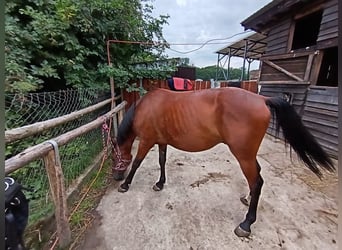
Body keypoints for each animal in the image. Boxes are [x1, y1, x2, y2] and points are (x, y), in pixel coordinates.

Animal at [111, 87, 334, 237]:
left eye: (115, 157)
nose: (115, 176)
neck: (146, 107)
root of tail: (262, 99)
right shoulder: (162, 141)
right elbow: (162, 161)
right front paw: (160, 183)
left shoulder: (146, 141)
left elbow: (137, 163)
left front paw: (126, 185)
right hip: (248, 155)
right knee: (257, 177)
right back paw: (247, 199)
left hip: (243, 156)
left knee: (257, 181)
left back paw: (246, 224)